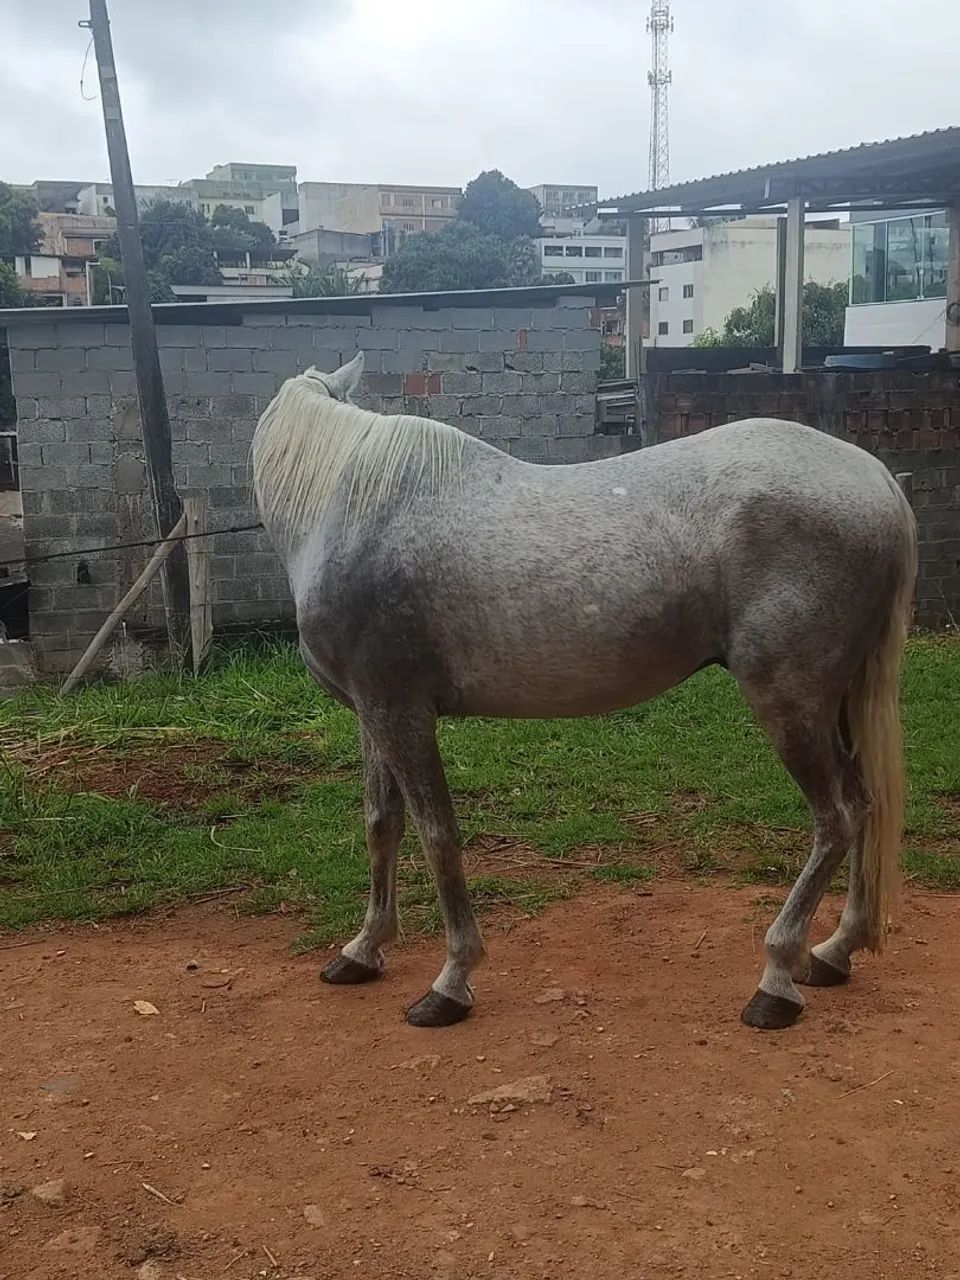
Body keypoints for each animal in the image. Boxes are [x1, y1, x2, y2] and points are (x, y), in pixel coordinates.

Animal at [252, 351, 916, 1031]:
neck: (351, 511)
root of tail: (874, 477)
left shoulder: (401, 712)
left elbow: (438, 837)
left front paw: (451, 981)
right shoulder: (373, 713)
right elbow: (382, 824)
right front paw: (362, 951)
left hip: (790, 702)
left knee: (835, 818)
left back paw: (777, 978)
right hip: (833, 704)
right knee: (865, 806)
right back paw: (835, 951)